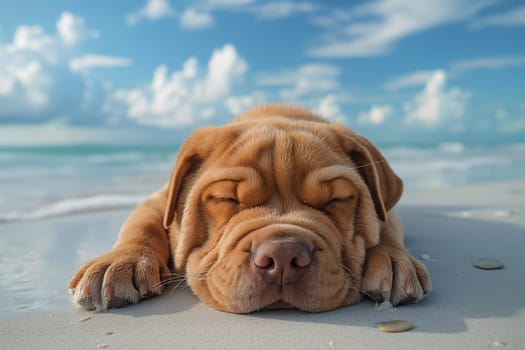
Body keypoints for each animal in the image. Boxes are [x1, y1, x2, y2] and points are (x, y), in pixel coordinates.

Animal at [68, 105, 430, 314]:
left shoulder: (387, 210)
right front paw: (119, 263)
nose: (283, 256)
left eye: (336, 200)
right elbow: (141, 225)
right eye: (226, 199)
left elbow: (383, 226)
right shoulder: (159, 199)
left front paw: (392, 261)